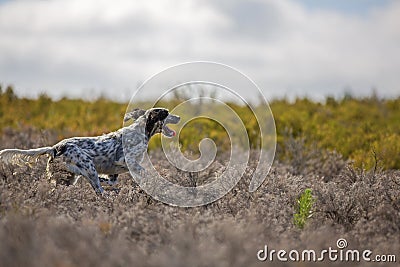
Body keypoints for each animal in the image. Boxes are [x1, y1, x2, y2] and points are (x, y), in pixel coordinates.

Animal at [0, 108, 180, 195]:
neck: (142, 130)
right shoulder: (126, 160)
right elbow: (145, 172)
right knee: (99, 191)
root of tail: (55, 147)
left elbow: (112, 180)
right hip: (88, 168)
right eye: (166, 113)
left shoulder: (114, 171)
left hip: (68, 179)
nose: (178, 117)